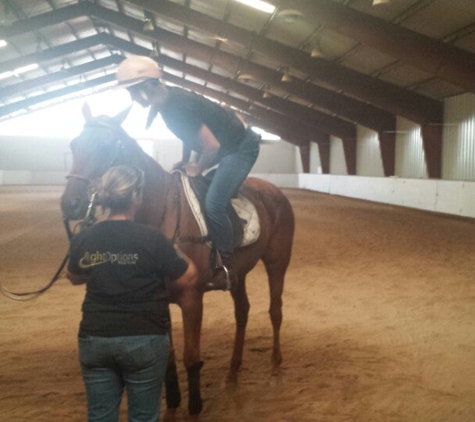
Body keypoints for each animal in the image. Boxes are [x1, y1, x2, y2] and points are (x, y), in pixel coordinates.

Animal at [59, 107, 294, 418]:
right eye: (74, 145)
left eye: (107, 147)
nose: (70, 203)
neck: (163, 212)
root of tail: (275, 192)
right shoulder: (159, 298)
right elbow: (167, 357)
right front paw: (172, 400)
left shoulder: (192, 298)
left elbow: (190, 357)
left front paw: (194, 406)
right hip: (239, 274)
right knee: (242, 312)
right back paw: (232, 371)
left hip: (277, 262)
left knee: (275, 311)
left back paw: (276, 366)